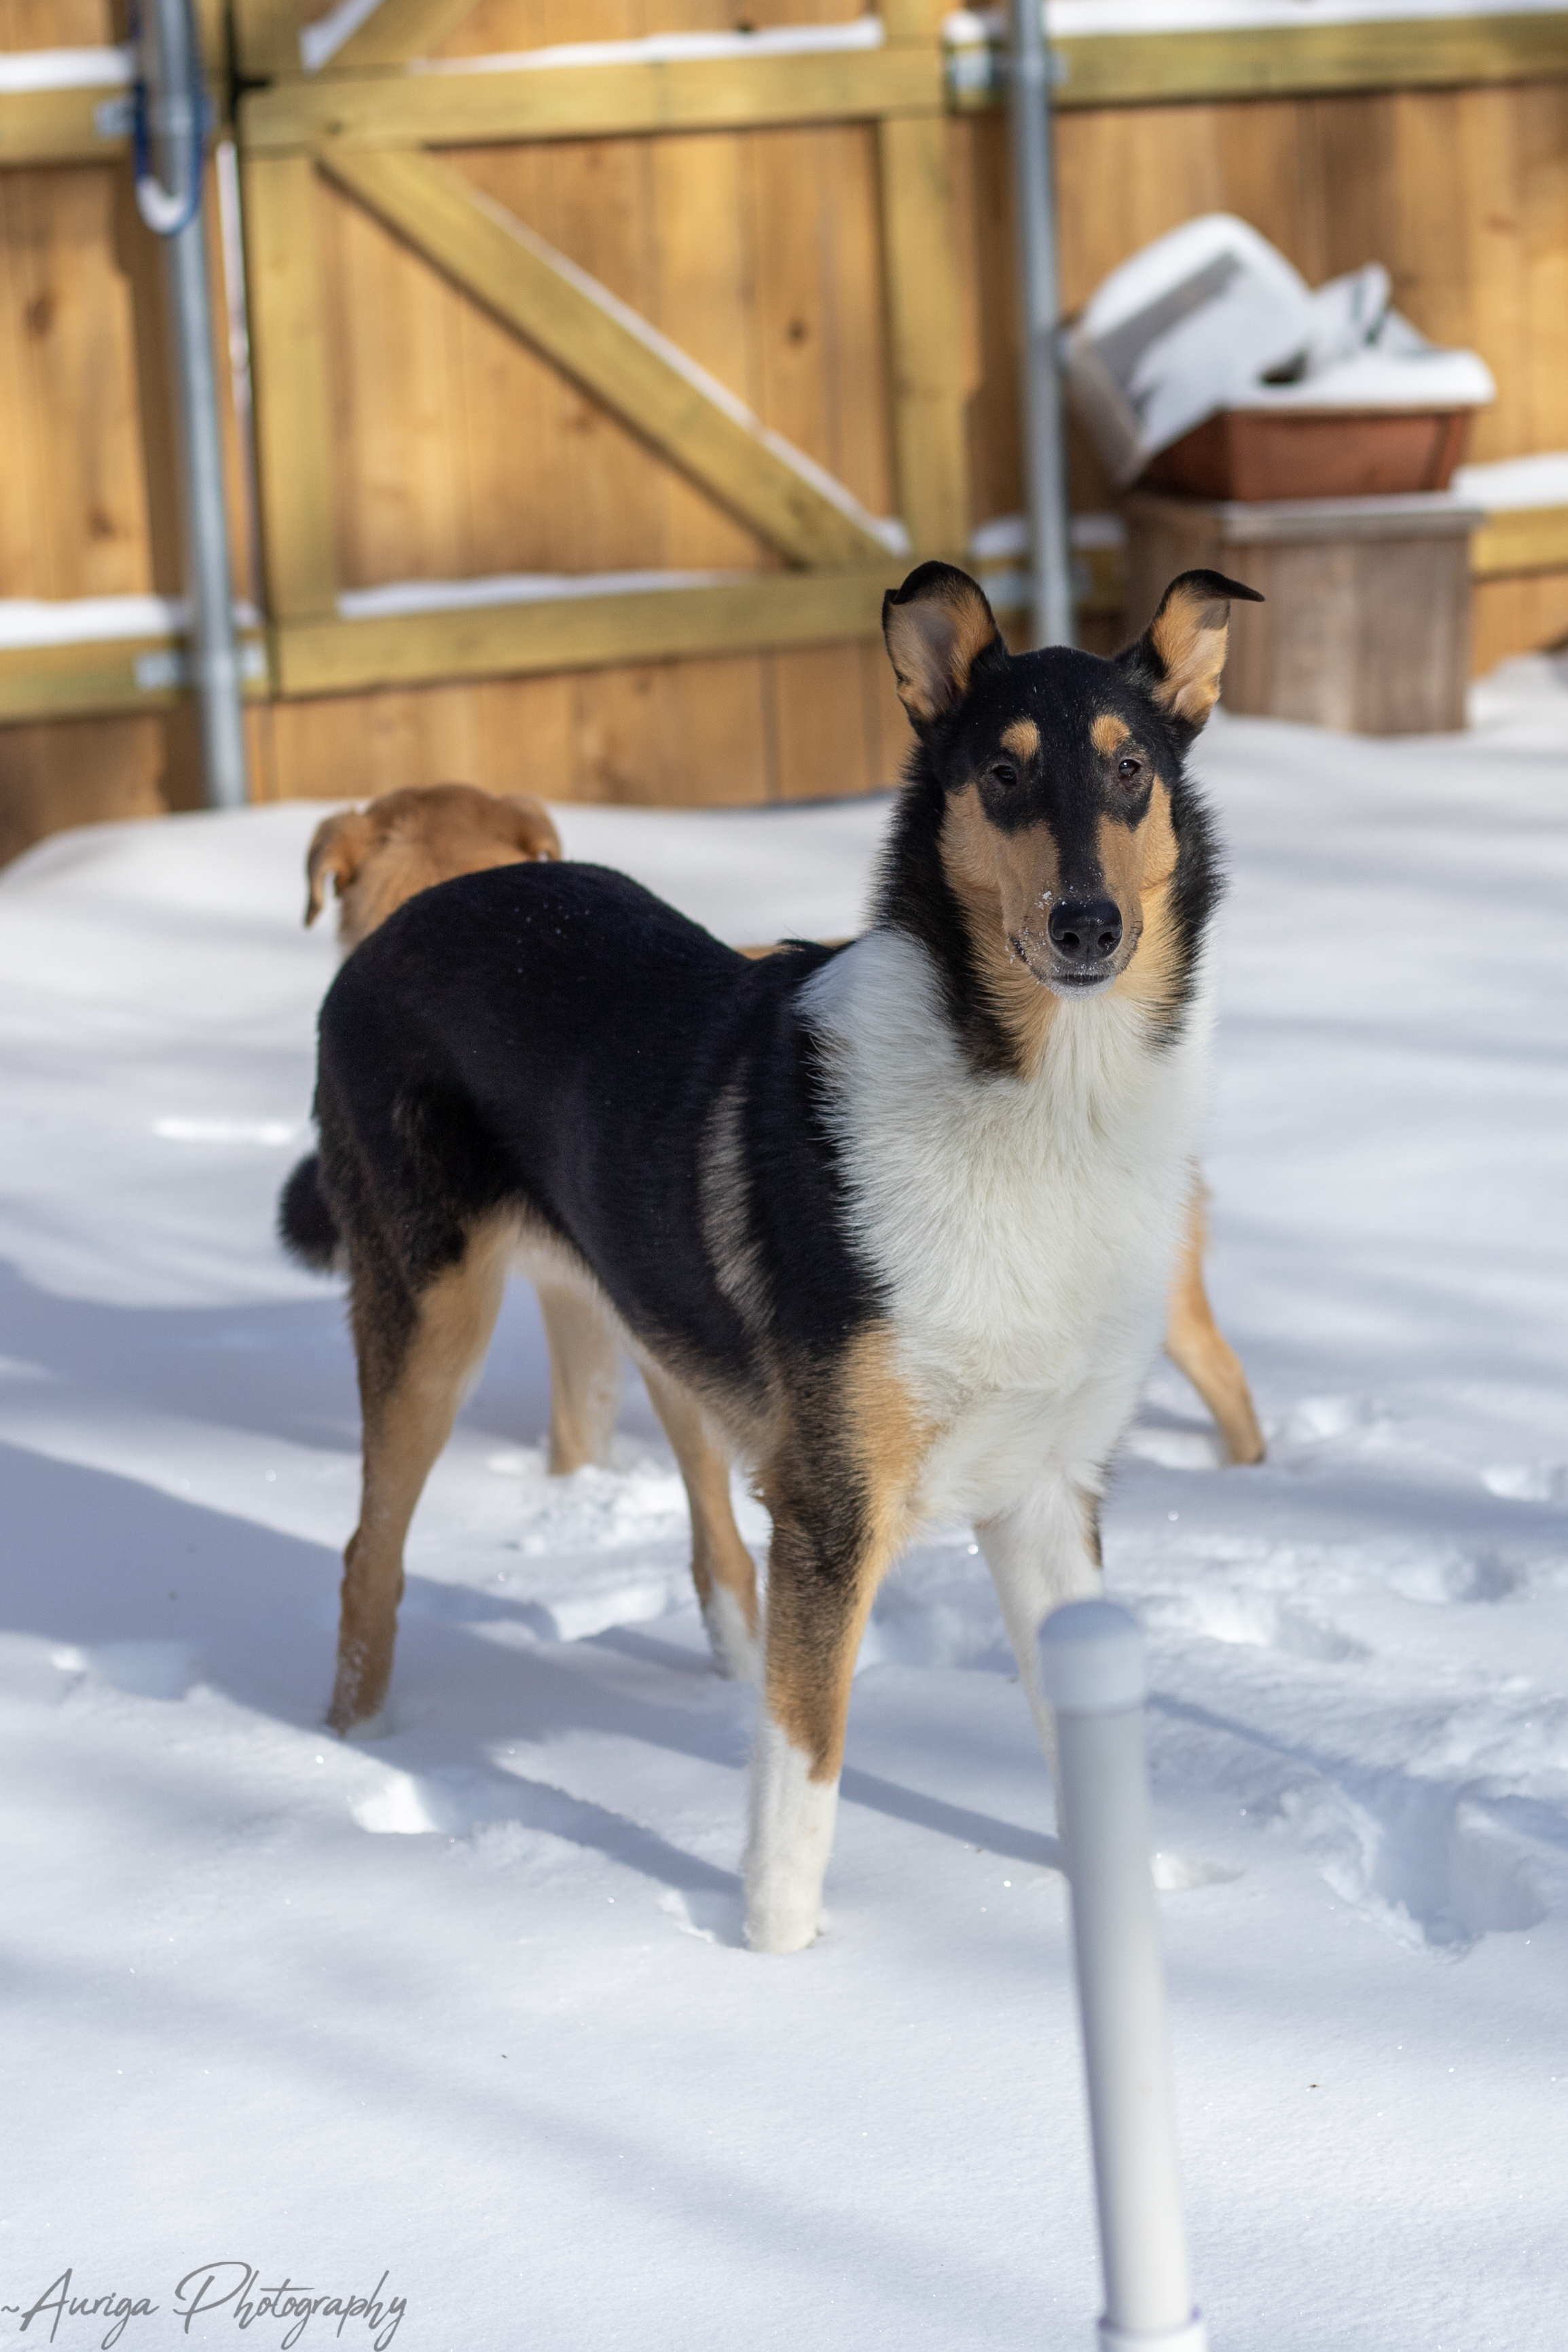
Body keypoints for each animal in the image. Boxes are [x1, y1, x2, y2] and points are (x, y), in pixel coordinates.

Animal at [280, 562, 1260, 1951]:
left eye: (1130, 769)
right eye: (1002, 772)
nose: (1085, 925)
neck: (1031, 1094)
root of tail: (401, 921)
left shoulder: (1046, 1489)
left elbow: (1078, 1736)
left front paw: (1133, 1910)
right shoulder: (835, 1505)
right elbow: (808, 1767)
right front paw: (778, 1959)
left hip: (660, 1334)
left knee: (706, 1550)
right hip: (431, 1323)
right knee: (371, 1557)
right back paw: (357, 1757)